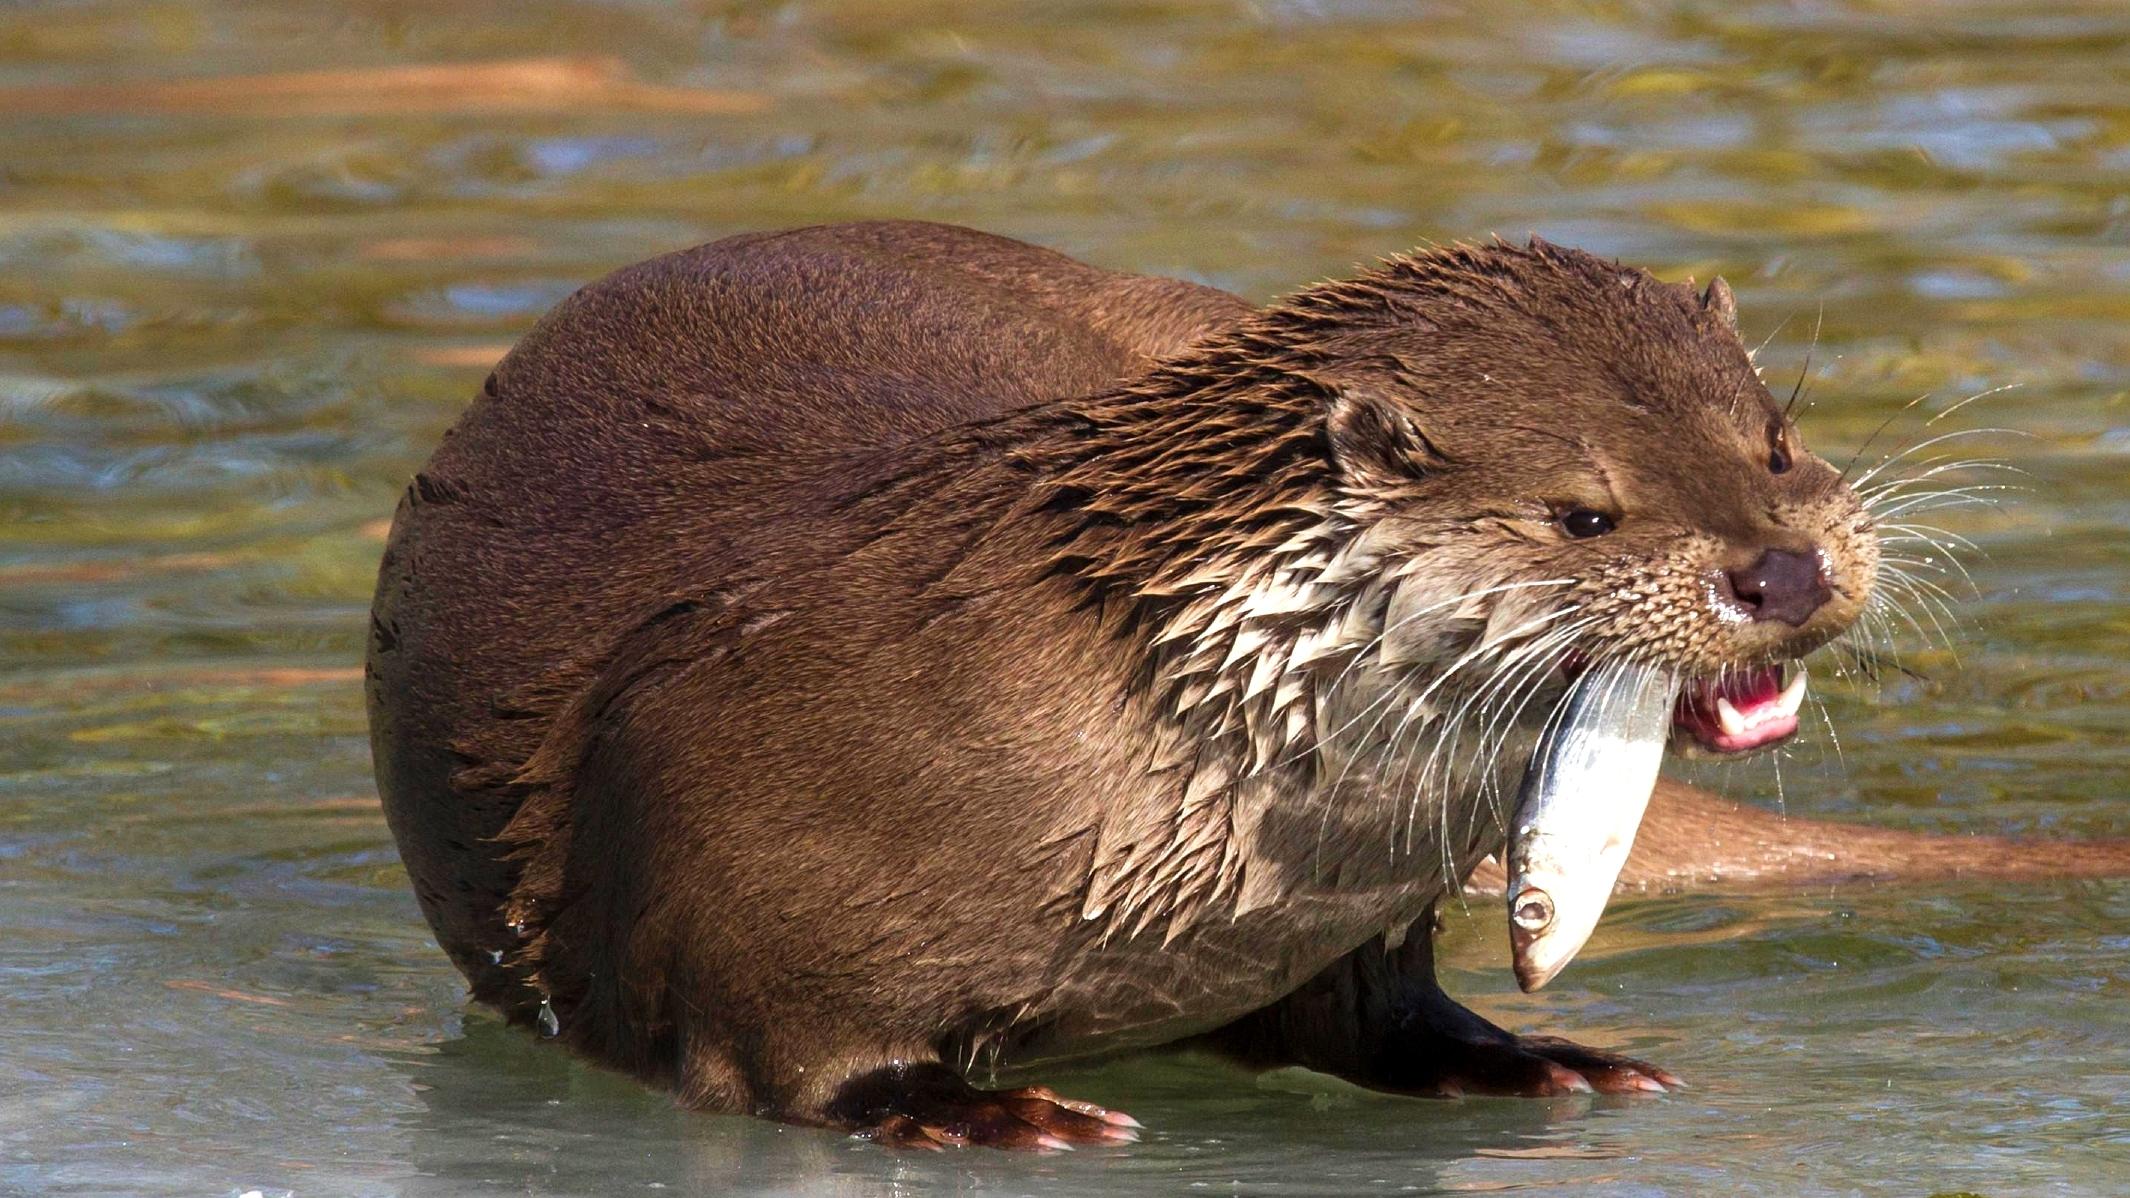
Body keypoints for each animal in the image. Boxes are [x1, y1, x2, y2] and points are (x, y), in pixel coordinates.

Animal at [367, 220, 1890, 1147]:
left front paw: (1532, 1058)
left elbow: (1380, 1012)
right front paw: (980, 1111)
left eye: (1771, 436)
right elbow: (792, 1056)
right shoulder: (730, 853)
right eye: (1582, 513)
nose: (1783, 569)